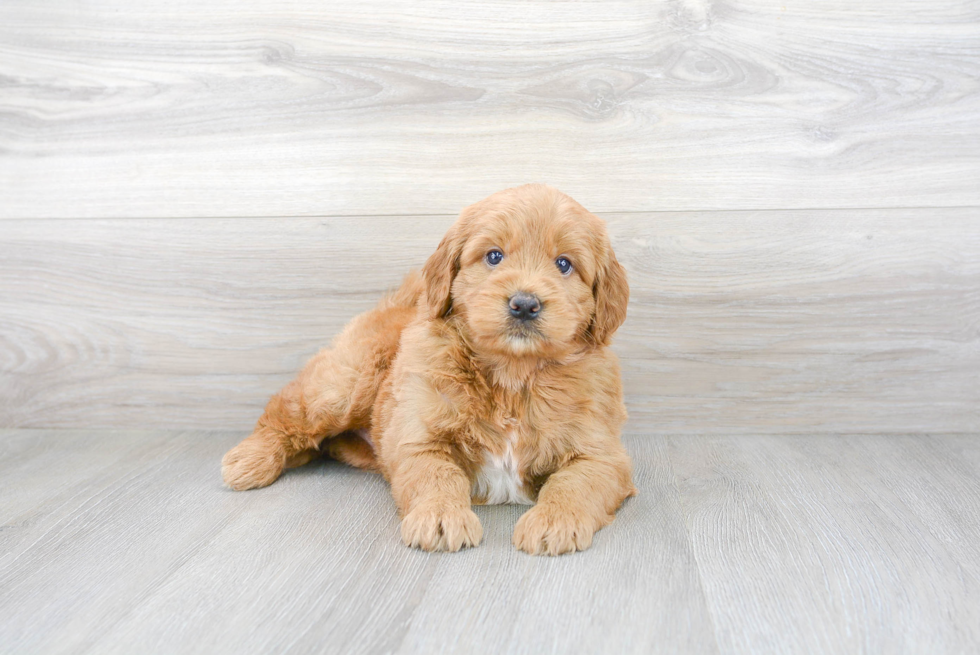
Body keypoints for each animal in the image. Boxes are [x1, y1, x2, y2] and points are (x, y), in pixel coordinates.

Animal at [222, 183, 636, 552]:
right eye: (494, 257)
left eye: (564, 264)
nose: (524, 304)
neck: (511, 377)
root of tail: (397, 303)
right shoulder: (419, 436)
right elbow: (437, 475)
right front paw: (440, 517)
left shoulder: (602, 454)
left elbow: (574, 483)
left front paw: (554, 522)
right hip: (343, 385)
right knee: (287, 412)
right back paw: (250, 460)